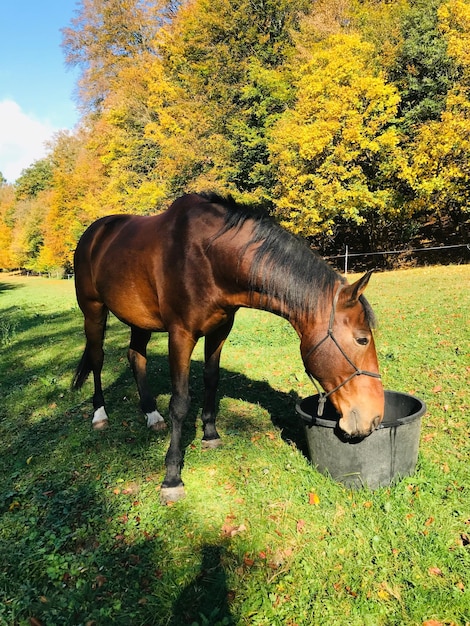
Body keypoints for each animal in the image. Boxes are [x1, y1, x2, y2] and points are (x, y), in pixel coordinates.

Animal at [71, 193, 384, 500]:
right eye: (362, 339)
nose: (375, 417)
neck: (208, 258)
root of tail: (94, 232)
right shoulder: (180, 335)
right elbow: (180, 402)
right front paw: (172, 477)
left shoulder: (220, 330)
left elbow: (211, 379)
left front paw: (210, 434)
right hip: (93, 311)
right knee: (98, 359)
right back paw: (100, 415)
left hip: (140, 320)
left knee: (136, 357)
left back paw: (151, 414)